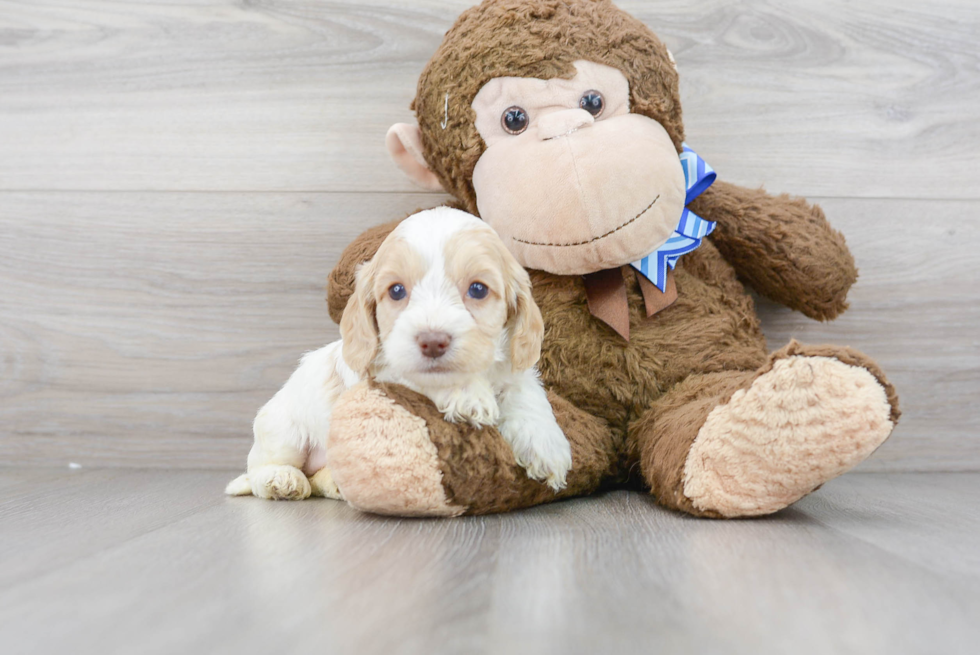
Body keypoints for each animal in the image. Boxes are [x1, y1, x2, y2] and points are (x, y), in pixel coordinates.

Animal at [225, 208, 572, 500]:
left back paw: (335, 483)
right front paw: (466, 394)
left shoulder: (510, 362)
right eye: (396, 291)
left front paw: (545, 443)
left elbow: (525, 389)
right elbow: (422, 377)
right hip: (284, 430)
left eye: (478, 289)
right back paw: (281, 480)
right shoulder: (386, 369)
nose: (433, 342)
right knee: (262, 469)